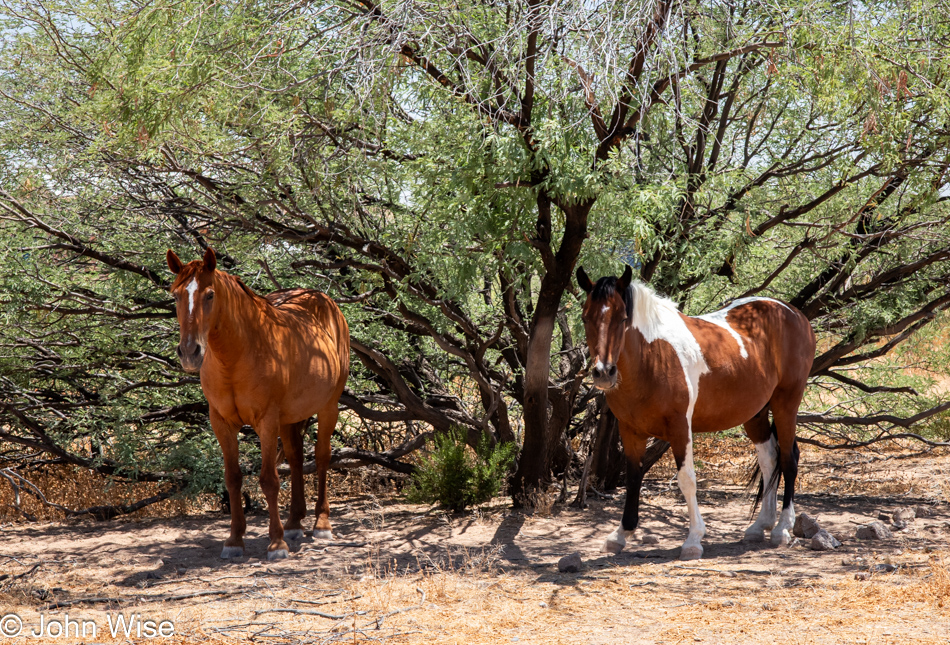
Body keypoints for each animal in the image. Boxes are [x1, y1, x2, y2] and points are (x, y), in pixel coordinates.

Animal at [169, 247, 352, 560]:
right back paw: (294, 523)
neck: (237, 355)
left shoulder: (266, 421)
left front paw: (276, 544)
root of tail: (323, 301)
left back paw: (321, 524)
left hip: (329, 407)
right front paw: (234, 540)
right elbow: (232, 478)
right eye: (176, 295)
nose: (190, 352)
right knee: (296, 457)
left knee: (322, 457)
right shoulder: (221, 422)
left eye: (210, 294)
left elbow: (269, 480)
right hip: (290, 418)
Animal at [576, 266, 816, 560]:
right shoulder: (630, 430)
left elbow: (686, 480)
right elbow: (633, 478)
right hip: (755, 414)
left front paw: (693, 540)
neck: (651, 357)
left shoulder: (680, 427)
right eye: (586, 317)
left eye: (622, 318)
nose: (603, 373)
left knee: (788, 458)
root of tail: (793, 312)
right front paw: (621, 534)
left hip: (786, 403)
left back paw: (782, 528)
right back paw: (760, 525)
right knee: (769, 459)